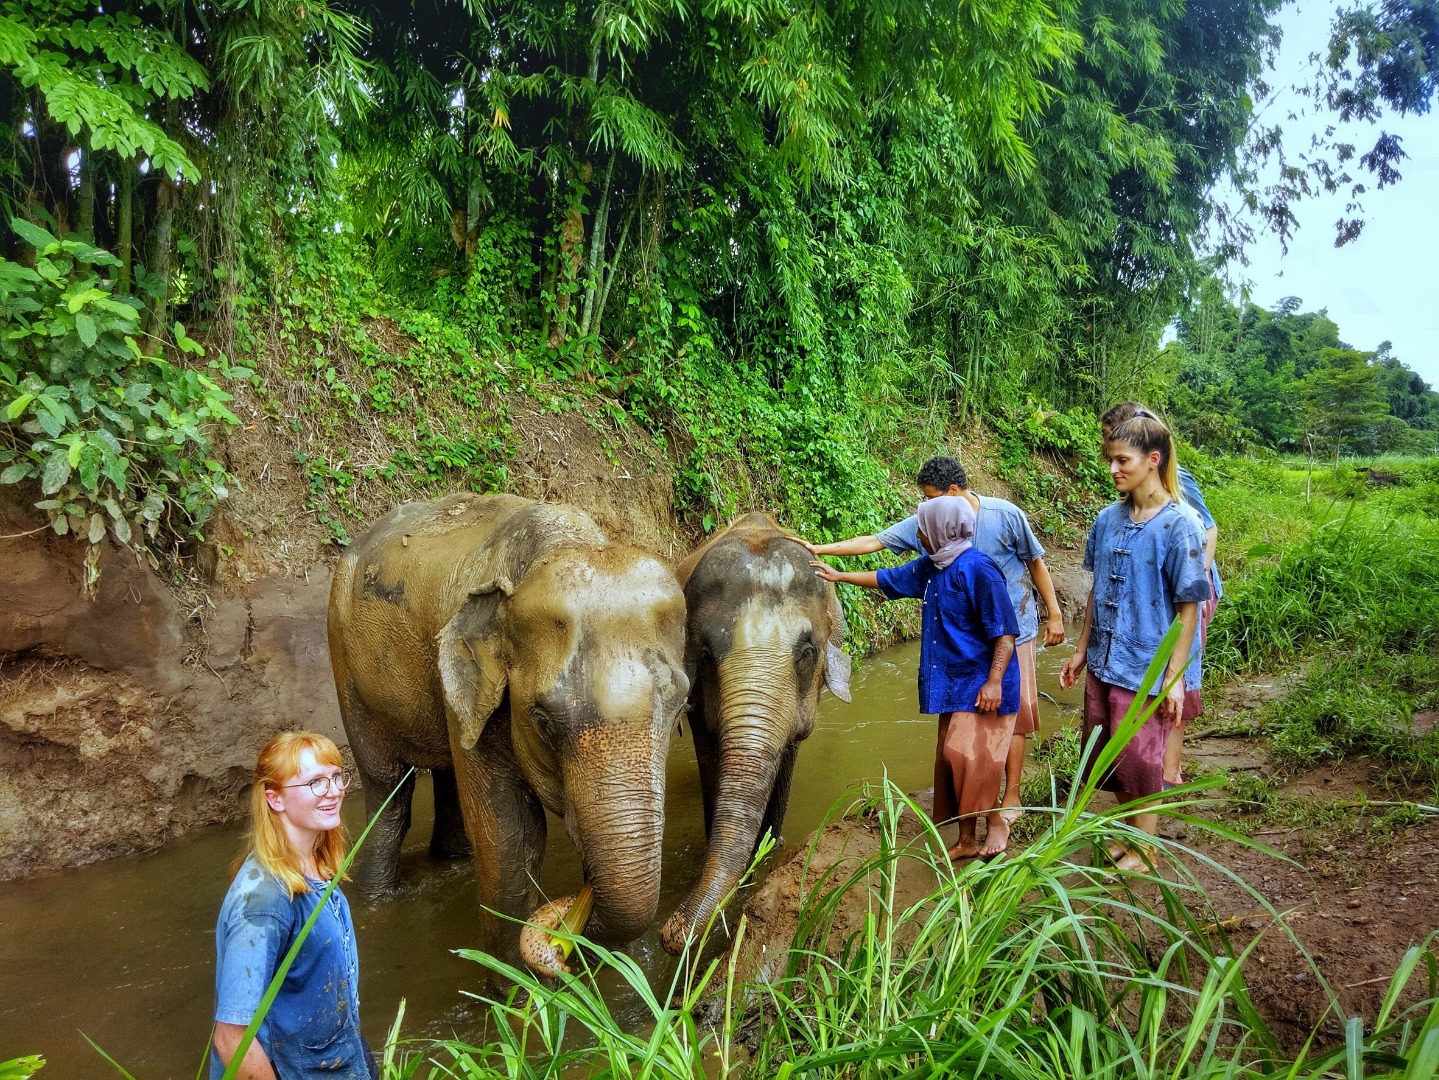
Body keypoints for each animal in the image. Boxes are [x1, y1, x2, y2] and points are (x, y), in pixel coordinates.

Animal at [329, 494, 687, 960]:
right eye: (543, 721)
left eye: (680, 707)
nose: (574, 918)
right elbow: (509, 832)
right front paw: (510, 977)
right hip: (344, 659)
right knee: (387, 786)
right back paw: (377, 898)